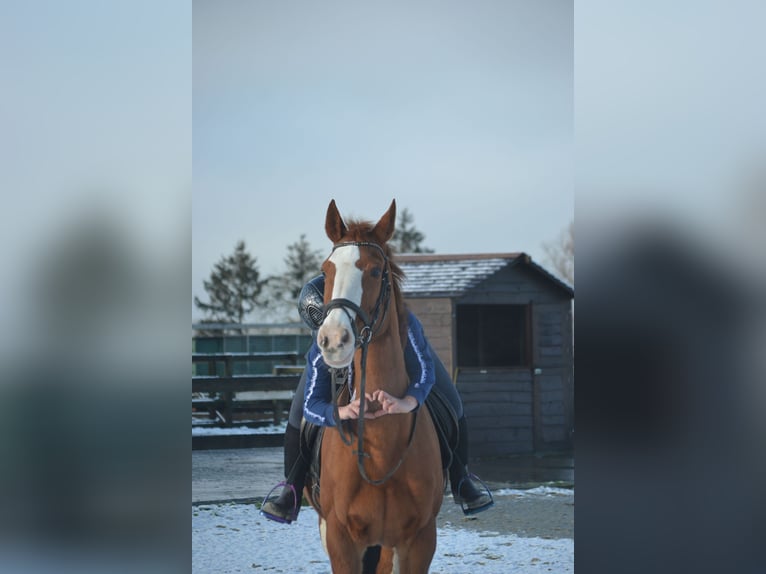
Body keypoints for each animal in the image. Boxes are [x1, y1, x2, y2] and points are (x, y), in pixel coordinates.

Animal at [306, 199, 444, 574]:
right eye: (327, 270)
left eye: (375, 271)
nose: (333, 340)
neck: (381, 450)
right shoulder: (340, 539)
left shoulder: (418, 541)